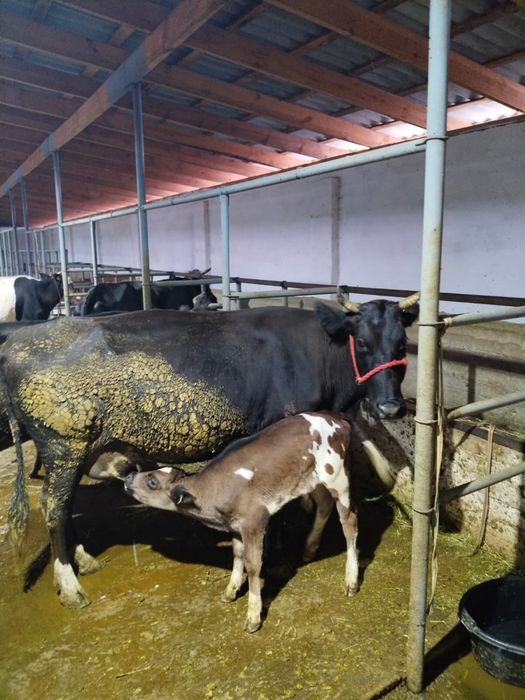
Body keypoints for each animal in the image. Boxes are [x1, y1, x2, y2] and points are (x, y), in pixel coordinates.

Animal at [2, 294, 418, 609]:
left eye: (402, 346)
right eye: (362, 343)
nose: (391, 407)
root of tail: (18, 341)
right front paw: (277, 563)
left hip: (78, 450)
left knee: (65, 505)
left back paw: (85, 560)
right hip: (62, 444)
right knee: (54, 506)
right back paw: (71, 585)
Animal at [125, 412, 358, 633]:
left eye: (152, 481)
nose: (128, 477)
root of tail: (336, 418)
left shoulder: (254, 520)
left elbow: (253, 564)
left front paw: (253, 615)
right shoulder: (234, 525)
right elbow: (237, 555)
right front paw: (231, 590)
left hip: (339, 479)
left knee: (350, 524)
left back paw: (351, 580)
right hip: (314, 481)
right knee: (324, 506)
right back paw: (310, 548)